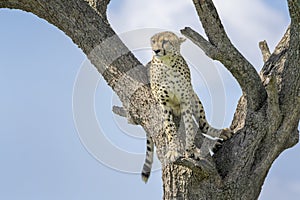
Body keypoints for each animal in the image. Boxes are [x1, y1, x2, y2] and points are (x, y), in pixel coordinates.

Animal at [141, 31, 232, 183]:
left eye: (165, 41)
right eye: (153, 41)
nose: (156, 50)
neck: (168, 63)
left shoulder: (186, 101)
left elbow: (189, 127)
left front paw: (192, 150)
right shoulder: (164, 104)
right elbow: (170, 128)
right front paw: (173, 150)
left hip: (195, 99)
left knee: (203, 125)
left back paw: (220, 133)